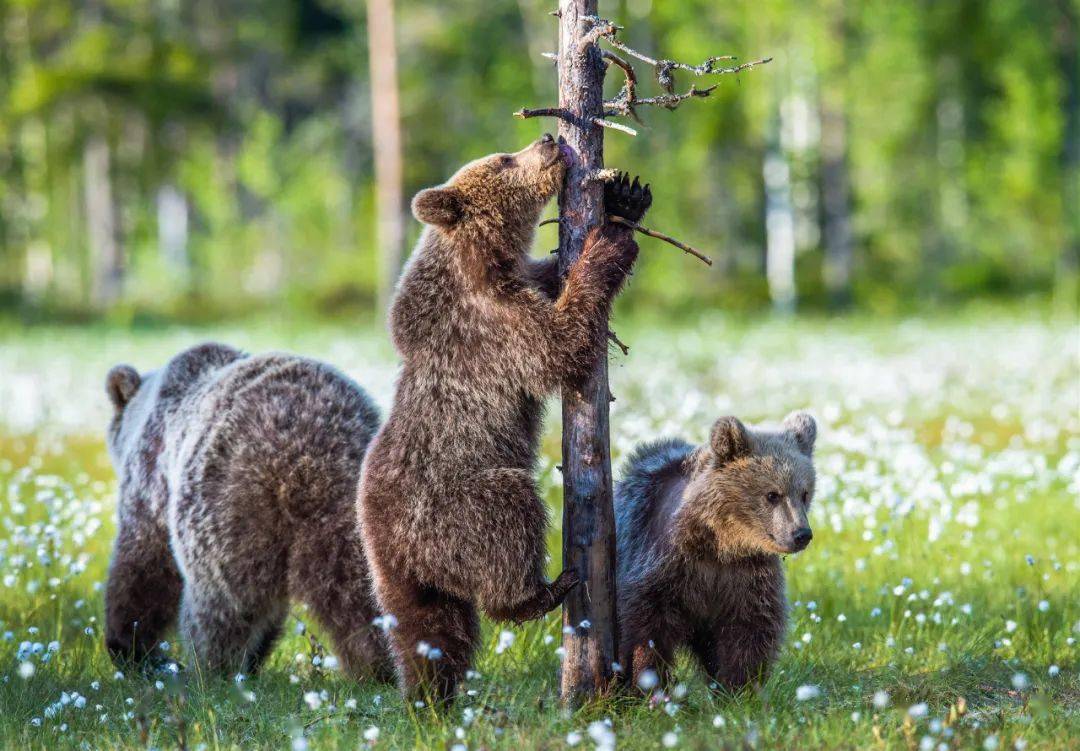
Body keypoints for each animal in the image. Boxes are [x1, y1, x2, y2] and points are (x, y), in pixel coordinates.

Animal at [104, 343, 393, 678]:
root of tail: (306, 454)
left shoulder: (152, 480)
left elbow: (142, 563)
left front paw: (129, 645)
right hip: (354, 512)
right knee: (360, 593)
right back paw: (380, 665)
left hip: (225, 507)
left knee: (225, 600)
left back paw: (211, 669)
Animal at [358, 132, 652, 700]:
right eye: (501, 160)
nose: (549, 137)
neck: (483, 264)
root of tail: (391, 547)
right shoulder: (494, 328)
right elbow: (562, 345)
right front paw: (606, 242)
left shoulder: (518, 287)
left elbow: (550, 281)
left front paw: (625, 202)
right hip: (452, 504)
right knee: (507, 514)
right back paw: (544, 590)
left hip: (407, 578)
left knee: (435, 632)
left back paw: (433, 691)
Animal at [613, 410, 812, 691]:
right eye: (772, 494)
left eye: (804, 493)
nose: (801, 534)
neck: (720, 545)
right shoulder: (662, 564)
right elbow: (648, 626)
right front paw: (647, 681)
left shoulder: (747, 577)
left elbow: (750, 628)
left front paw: (739, 686)